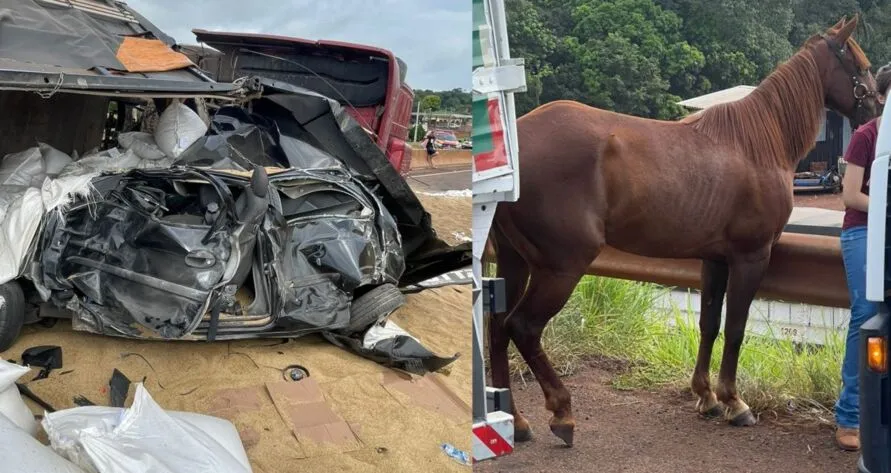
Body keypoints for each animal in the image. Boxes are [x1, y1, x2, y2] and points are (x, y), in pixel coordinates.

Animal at [484, 15, 880, 446]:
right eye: (861, 66)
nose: (877, 108)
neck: (757, 143)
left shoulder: (715, 259)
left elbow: (709, 324)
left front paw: (706, 396)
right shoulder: (751, 257)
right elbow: (736, 328)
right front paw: (734, 402)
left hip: (515, 261)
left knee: (498, 328)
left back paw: (515, 421)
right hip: (561, 267)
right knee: (522, 327)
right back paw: (562, 412)